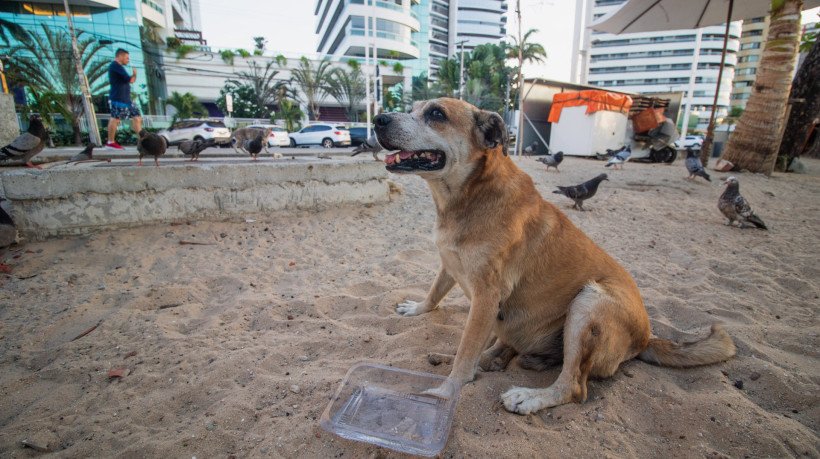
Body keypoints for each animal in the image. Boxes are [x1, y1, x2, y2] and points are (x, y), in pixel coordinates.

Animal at [374, 99, 736, 416]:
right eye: (411, 109)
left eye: (436, 113)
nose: (378, 119)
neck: (468, 196)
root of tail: (647, 337)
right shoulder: (449, 264)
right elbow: (435, 292)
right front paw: (419, 309)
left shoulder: (487, 296)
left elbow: (465, 357)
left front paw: (445, 392)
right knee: (507, 348)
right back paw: (492, 357)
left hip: (589, 303)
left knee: (574, 386)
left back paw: (528, 396)